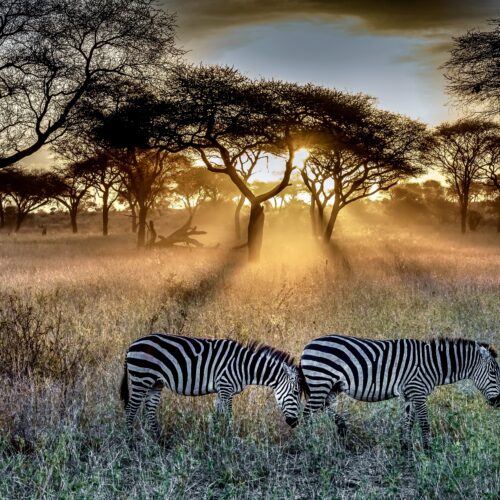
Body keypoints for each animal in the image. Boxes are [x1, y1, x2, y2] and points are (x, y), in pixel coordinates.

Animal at [121, 334, 300, 436]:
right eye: (296, 393)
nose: (295, 423)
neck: (243, 366)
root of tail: (131, 345)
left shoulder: (221, 390)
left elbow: (216, 415)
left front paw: (214, 437)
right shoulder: (226, 387)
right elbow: (228, 416)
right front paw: (232, 440)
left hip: (155, 383)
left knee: (150, 411)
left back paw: (158, 440)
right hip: (141, 379)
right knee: (130, 410)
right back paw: (131, 442)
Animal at [298, 336, 498, 450]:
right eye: (494, 373)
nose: (498, 402)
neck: (433, 364)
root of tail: (308, 345)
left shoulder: (410, 394)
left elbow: (408, 421)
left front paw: (405, 446)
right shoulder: (418, 391)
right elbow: (424, 423)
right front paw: (428, 449)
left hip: (332, 386)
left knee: (323, 406)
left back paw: (341, 428)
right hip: (321, 382)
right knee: (307, 413)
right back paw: (308, 442)